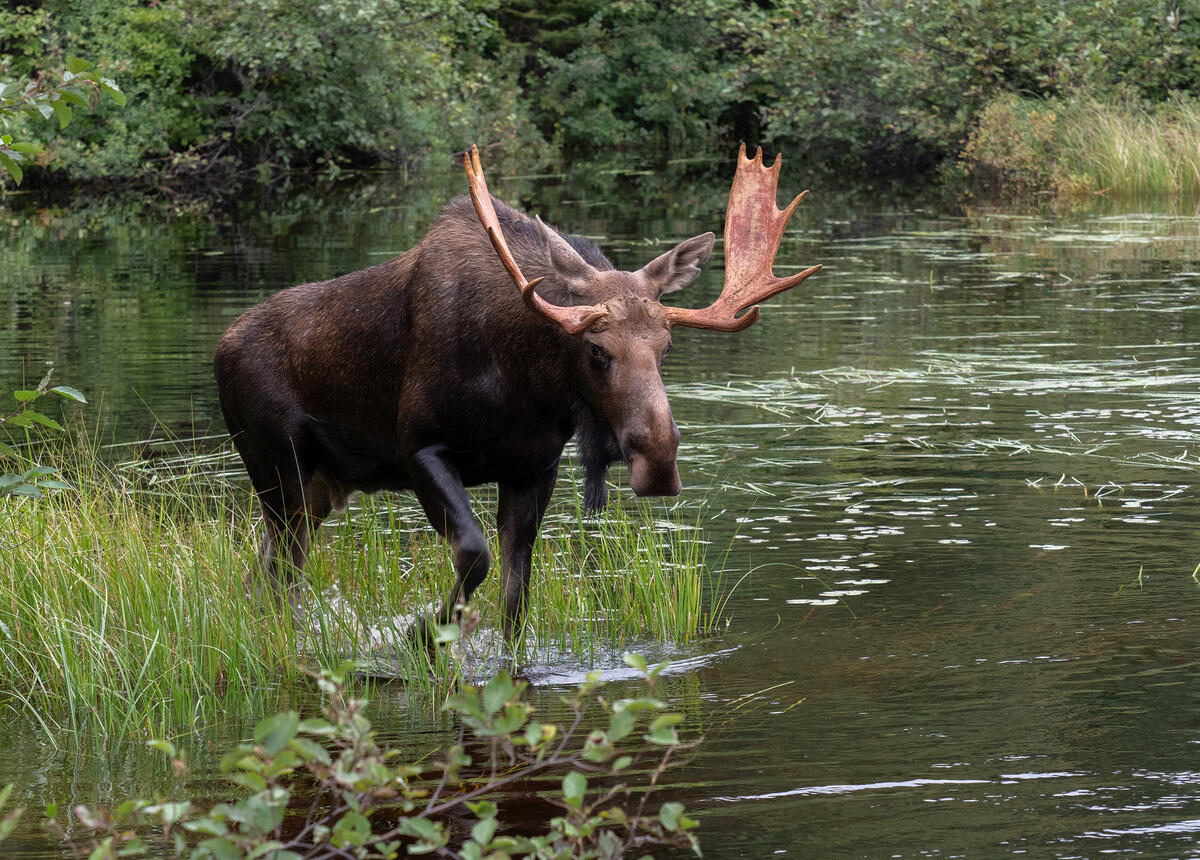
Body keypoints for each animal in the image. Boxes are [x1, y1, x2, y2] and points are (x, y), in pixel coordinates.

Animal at [214, 144, 820, 642]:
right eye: (596, 350)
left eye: (666, 346)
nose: (659, 460)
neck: (528, 383)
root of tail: (221, 347)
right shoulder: (419, 448)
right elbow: (473, 555)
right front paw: (423, 633)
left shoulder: (534, 467)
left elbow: (516, 600)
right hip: (277, 467)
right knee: (280, 570)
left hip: (320, 485)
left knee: (265, 571)